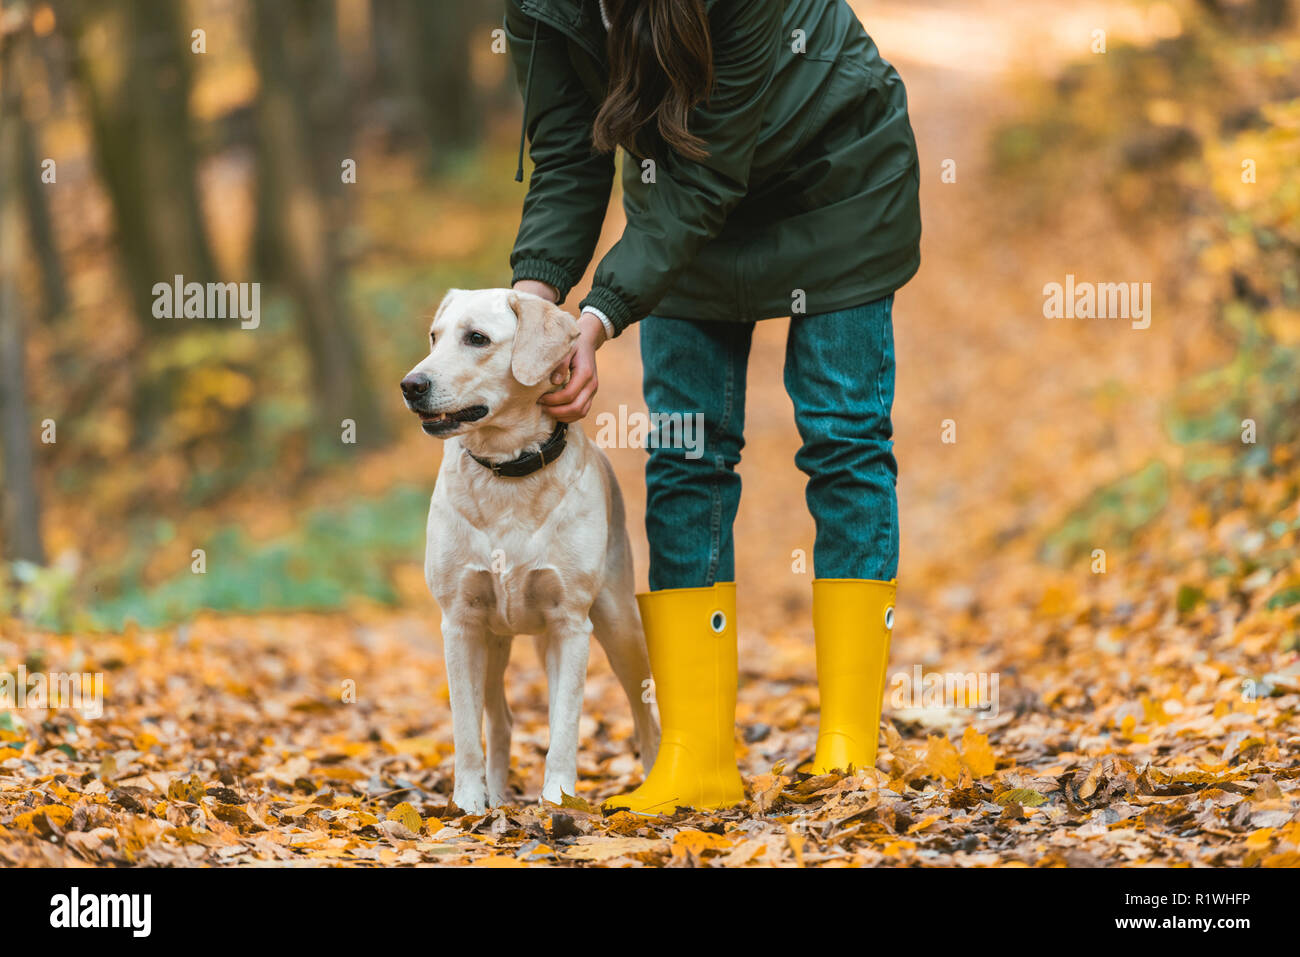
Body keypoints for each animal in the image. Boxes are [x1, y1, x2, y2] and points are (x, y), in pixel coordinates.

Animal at [397, 287, 660, 811]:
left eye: (477, 338)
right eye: (435, 337)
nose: (410, 385)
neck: (506, 470)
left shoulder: (571, 624)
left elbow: (564, 726)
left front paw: (559, 801)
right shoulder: (460, 623)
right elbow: (465, 730)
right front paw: (468, 804)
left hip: (618, 621)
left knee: (644, 713)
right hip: (494, 641)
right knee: (500, 720)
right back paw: (496, 798)